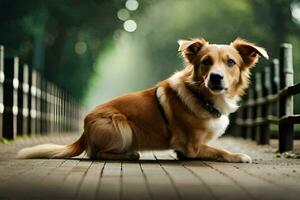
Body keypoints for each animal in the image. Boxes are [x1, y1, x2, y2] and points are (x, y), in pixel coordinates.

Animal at [17, 37, 268, 162]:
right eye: (206, 61)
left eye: (231, 62)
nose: (215, 77)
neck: (202, 96)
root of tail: (85, 127)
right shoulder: (192, 147)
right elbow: (219, 151)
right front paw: (239, 155)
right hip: (122, 127)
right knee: (93, 153)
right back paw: (130, 154)